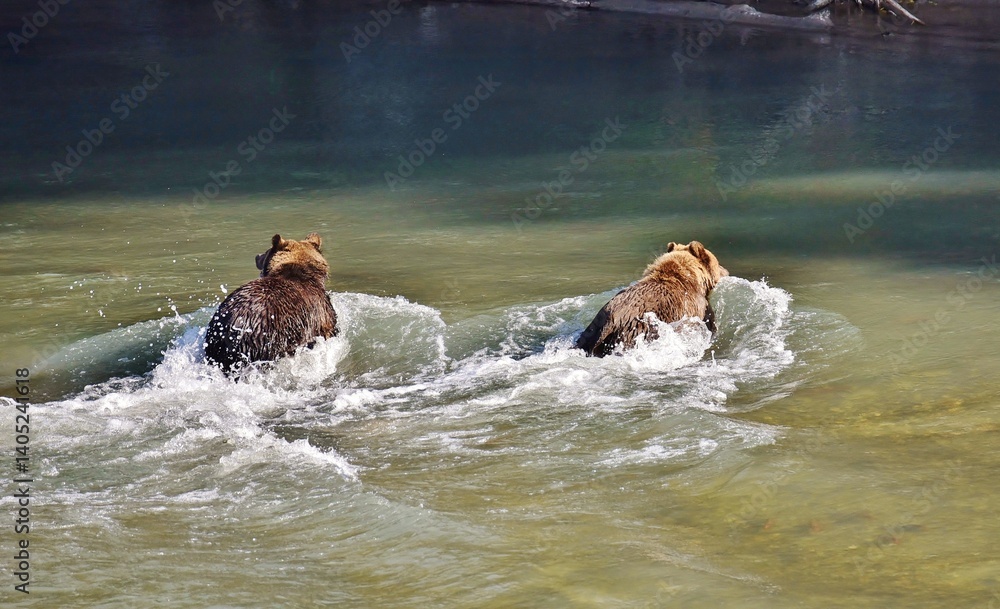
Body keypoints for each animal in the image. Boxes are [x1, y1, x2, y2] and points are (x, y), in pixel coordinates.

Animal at [575, 240, 728, 357]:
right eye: (718, 263)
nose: (726, 271)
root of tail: (611, 322)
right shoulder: (697, 308)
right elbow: (709, 324)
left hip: (592, 332)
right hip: (636, 331)